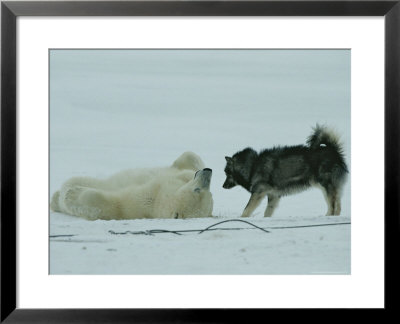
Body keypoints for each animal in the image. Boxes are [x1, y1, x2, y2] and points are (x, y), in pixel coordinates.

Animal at [50, 153, 214, 220]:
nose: (208, 171)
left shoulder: (146, 200)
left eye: (197, 190)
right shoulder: (171, 180)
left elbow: (115, 204)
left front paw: (72, 194)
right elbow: (189, 158)